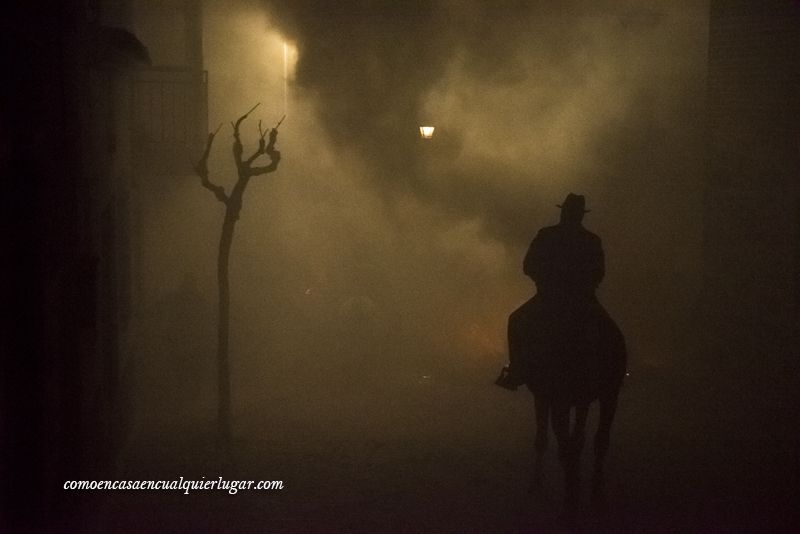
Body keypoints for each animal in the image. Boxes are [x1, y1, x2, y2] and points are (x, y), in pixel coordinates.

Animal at [510, 298, 628, 520]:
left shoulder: (605, 395)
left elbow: (591, 442)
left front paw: (589, 495)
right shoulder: (559, 399)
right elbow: (560, 443)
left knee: (577, 440)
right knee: (572, 440)